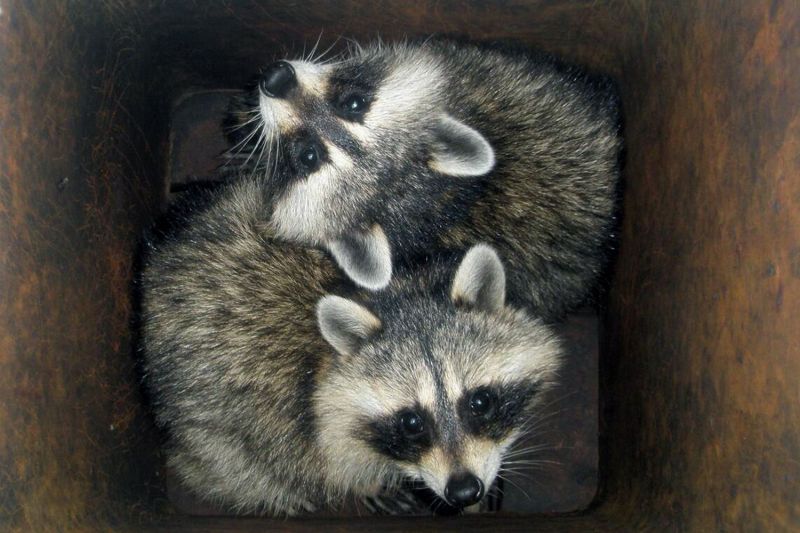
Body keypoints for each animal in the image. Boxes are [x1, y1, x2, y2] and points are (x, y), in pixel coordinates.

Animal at [139, 177, 563, 515]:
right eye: (411, 422)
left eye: (480, 401)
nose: (463, 491)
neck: (397, 290)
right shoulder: (306, 417)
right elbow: (325, 457)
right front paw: (369, 482)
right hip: (205, 417)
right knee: (242, 467)